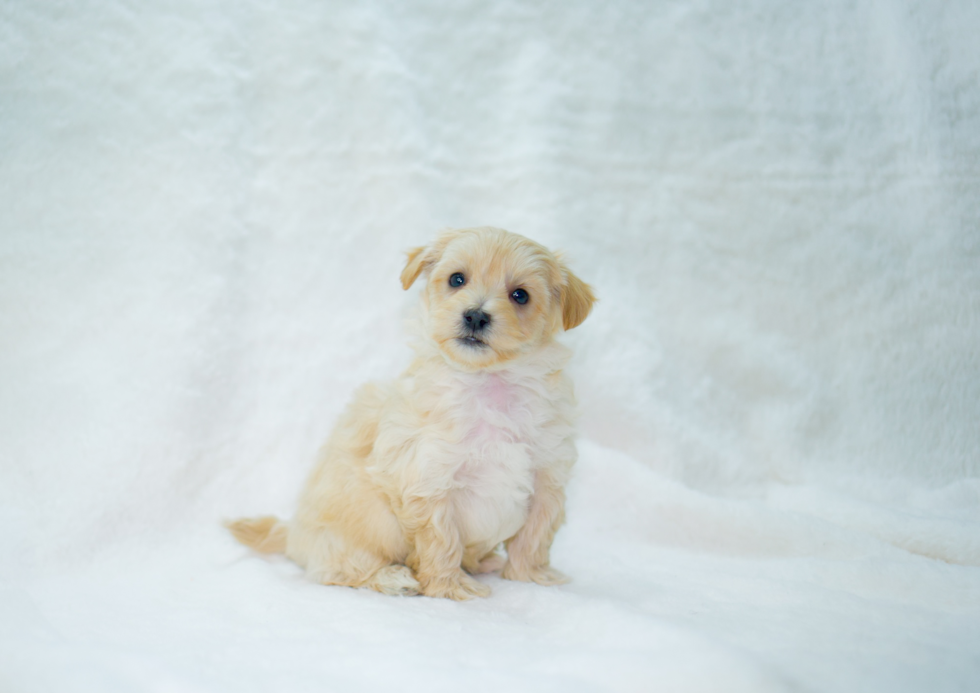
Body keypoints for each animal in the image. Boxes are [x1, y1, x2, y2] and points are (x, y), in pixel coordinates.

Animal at [230, 228, 592, 600]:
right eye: (457, 279)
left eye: (520, 295)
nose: (476, 316)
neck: (489, 384)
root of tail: (292, 536)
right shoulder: (427, 478)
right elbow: (442, 540)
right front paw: (449, 587)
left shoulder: (548, 474)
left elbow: (535, 535)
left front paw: (530, 576)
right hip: (345, 539)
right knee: (342, 570)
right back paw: (393, 577)